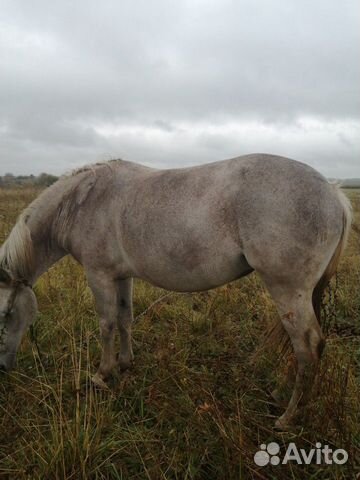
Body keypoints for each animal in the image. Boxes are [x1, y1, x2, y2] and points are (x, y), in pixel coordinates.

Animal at [0, 154, 352, 428]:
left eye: (5, 314)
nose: (3, 368)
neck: (82, 201)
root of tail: (333, 193)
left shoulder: (98, 275)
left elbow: (107, 324)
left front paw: (102, 374)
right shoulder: (121, 276)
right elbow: (125, 318)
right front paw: (125, 364)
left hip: (288, 291)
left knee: (307, 347)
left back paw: (288, 418)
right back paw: (283, 396)